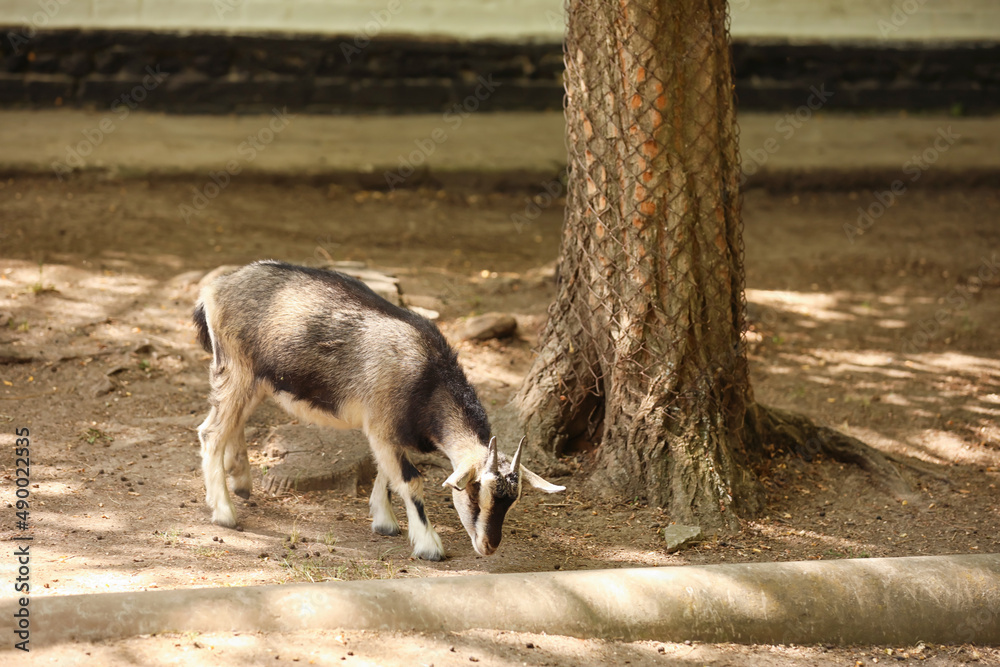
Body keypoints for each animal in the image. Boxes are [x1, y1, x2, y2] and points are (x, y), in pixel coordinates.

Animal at [192, 262, 568, 564]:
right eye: (474, 492)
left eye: (513, 500)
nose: (489, 546)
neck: (427, 379)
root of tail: (214, 290)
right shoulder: (382, 425)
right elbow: (409, 478)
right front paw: (429, 545)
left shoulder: (388, 432)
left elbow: (386, 473)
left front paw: (384, 521)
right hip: (235, 368)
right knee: (211, 432)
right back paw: (224, 512)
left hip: (256, 379)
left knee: (234, 423)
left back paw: (240, 480)